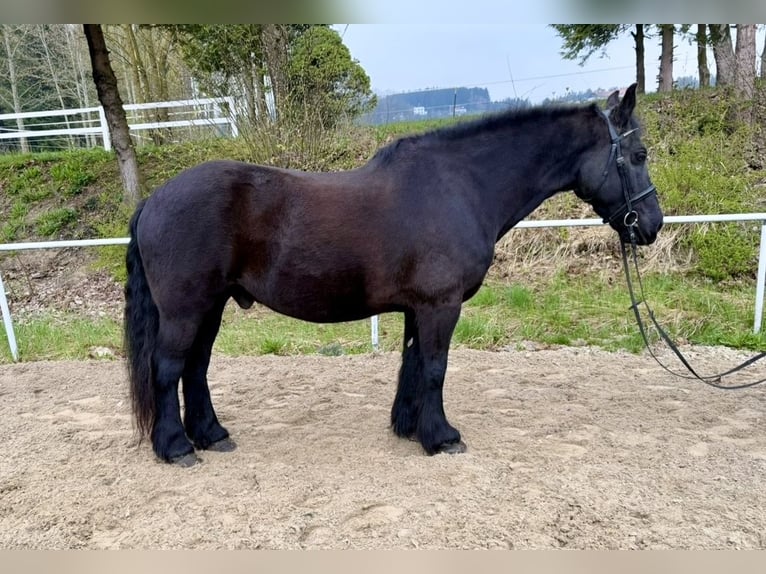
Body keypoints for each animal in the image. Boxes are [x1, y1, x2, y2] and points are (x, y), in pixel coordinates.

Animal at [124, 83, 663, 466]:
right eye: (638, 155)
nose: (652, 224)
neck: (462, 186)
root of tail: (154, 199)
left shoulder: (417, 307)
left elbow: (413, 364)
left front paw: (409, 427)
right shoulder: (441, 305)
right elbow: (435, 367)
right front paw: (442, 437)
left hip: (210, 307)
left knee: (195, 369)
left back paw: (211, 435)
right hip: (186, 309)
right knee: (169, 368)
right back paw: (177, 448)